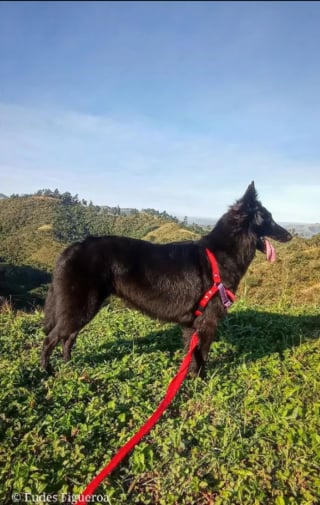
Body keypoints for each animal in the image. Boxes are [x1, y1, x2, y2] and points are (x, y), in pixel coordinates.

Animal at [40, 181, 292, 374]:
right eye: (268, 218)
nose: (290, 236)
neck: (220, 255)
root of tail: (72, 247)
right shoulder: (208, 322)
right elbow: (203, 356)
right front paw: (201, 381)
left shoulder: (192, 326)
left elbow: (193, 356)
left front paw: (188, 379)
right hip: (81, 308)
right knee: (50, 339)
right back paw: (48, 371)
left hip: (82, 310)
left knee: (68, 338)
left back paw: (69, 366)